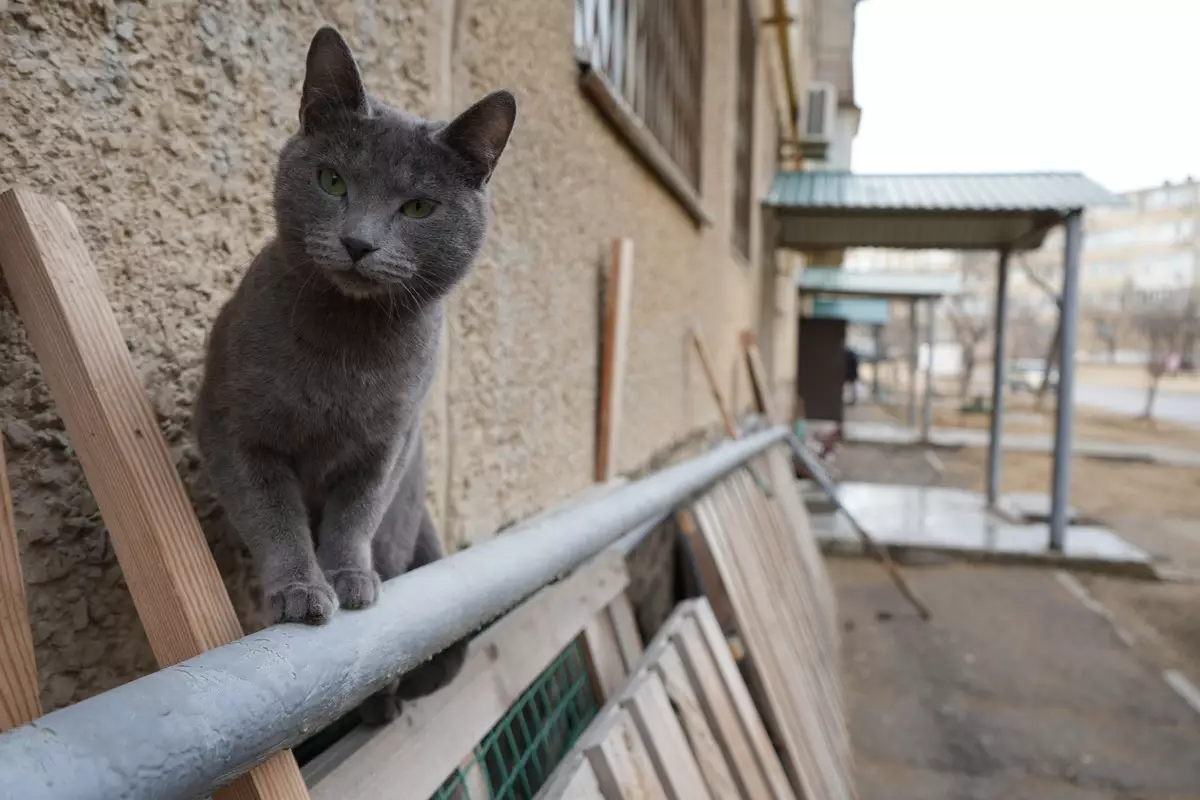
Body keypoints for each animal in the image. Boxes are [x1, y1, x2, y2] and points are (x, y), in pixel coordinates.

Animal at [194, 25, 513, 714]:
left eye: (418, 207)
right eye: (332, 180)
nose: (359, 242)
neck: (348, 346)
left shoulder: (389, 442)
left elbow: (354, 513)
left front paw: (347, 578)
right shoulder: (233, 428)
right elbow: (274, 515)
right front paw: (301, 591)